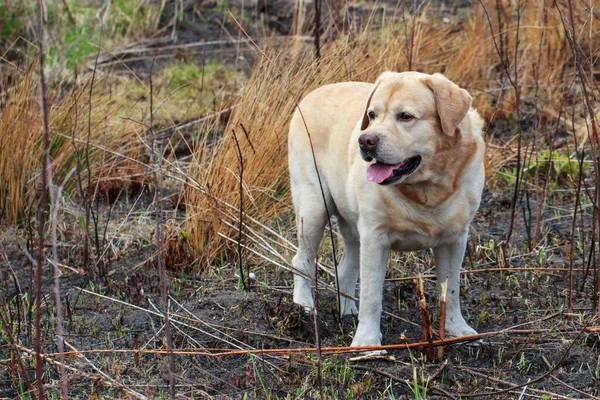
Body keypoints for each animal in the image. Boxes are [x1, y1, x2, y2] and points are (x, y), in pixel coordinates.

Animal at [288, 72, 486, 346]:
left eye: (405, 116)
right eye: (372, 115)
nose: (365, 140)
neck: (426, 189)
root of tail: (309, 95)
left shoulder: (455, 239)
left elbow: (452, 289)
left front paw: (457, 329)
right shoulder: (375, 237)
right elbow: (372, 295)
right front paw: (367, 341)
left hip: (351, 227)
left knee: (346, 268)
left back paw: (347, 311)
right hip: (313, 207)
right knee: (302, 261)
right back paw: (303, 309)